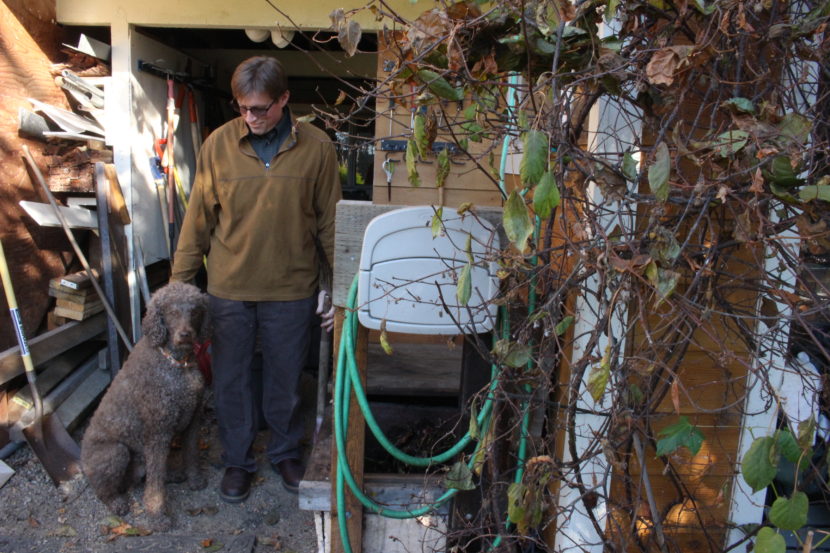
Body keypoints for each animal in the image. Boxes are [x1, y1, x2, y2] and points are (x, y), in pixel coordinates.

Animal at [82, 282, 211, 528]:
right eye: (171, 312)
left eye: (195, 311)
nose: (185, 335)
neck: (176, 364)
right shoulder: (157, 432)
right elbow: (155, 483)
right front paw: (157, 515)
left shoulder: (193, 420)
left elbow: (191, 453)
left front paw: (195, 479)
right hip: (116, 452)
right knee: (104, 489)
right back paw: (117, 503)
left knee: (146, 475)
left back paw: (172, 475)